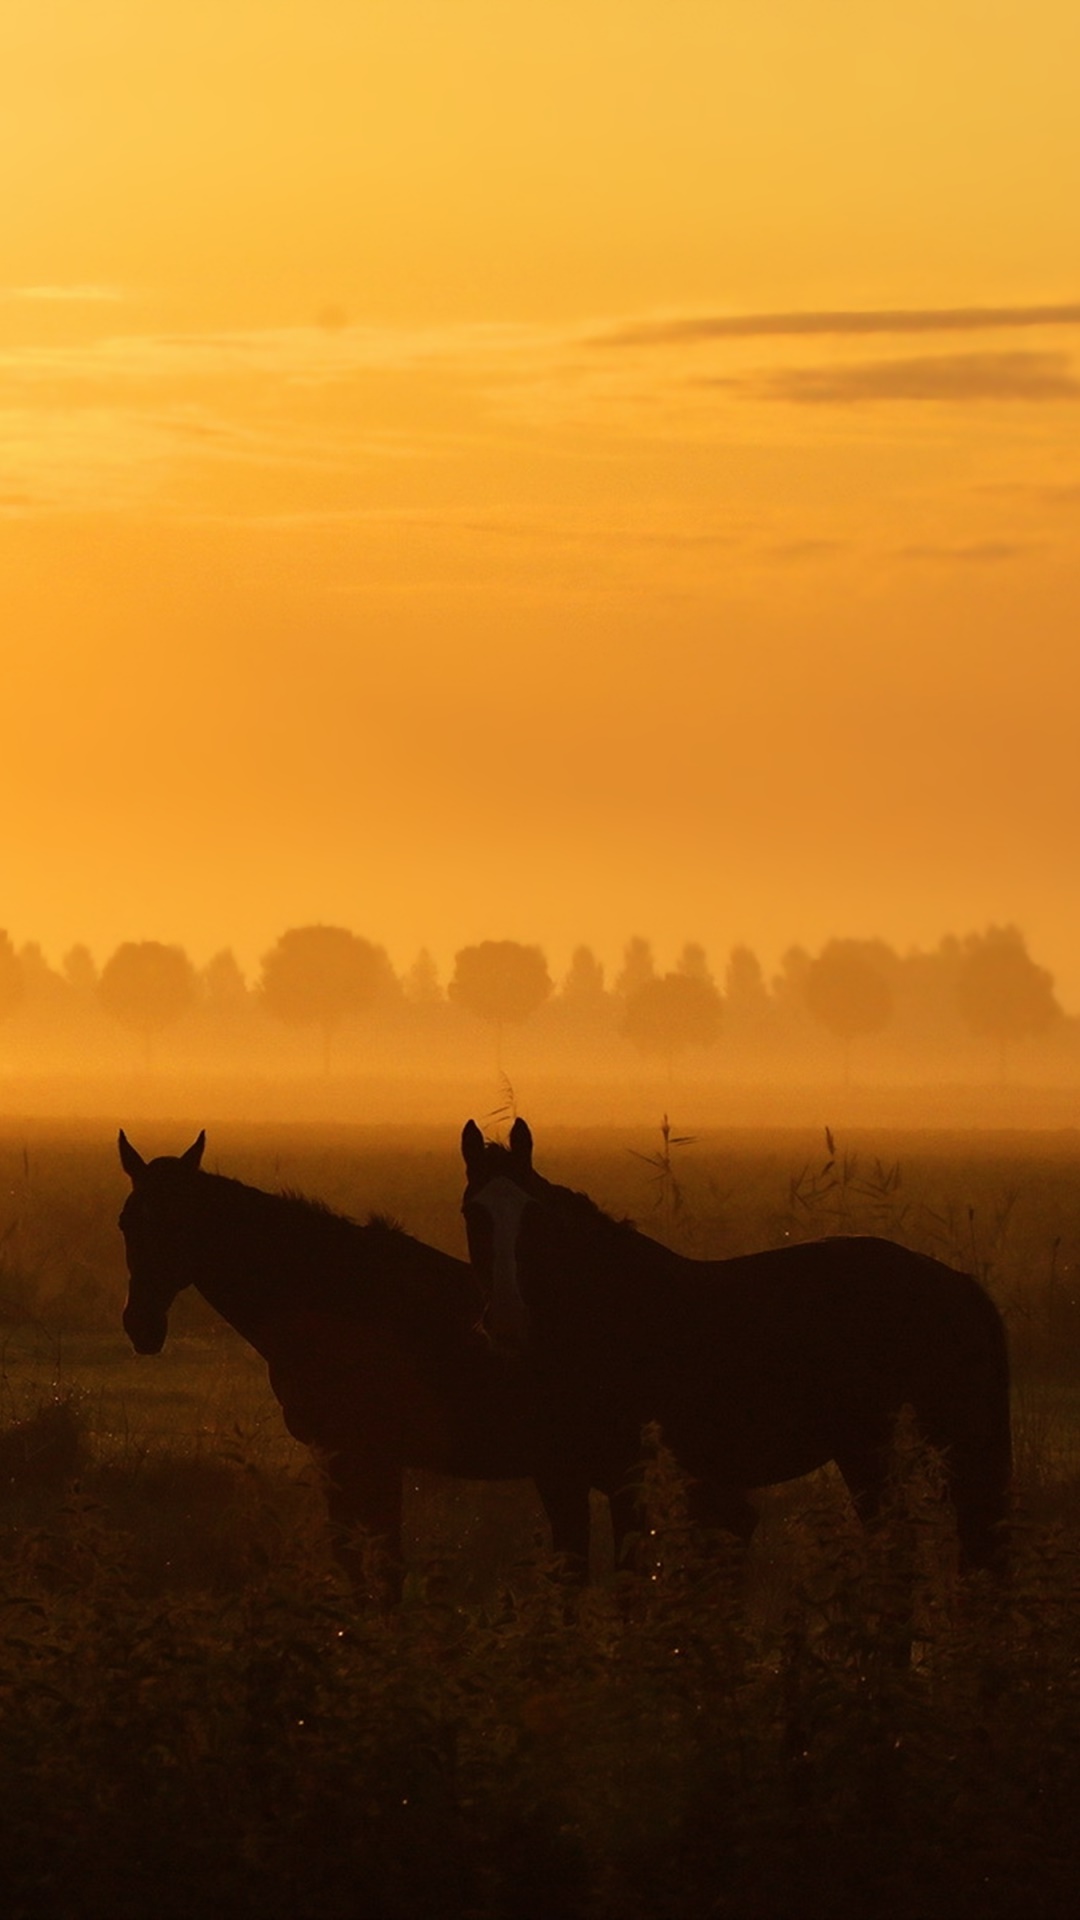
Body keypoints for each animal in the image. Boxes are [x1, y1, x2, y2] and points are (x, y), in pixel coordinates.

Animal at [117, 1130, 581, 1596]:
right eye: (126, 1222)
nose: (141, 1325)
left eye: (180, 1223)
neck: (339, 1297)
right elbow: (350, 1558)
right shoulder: (335, 1454)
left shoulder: (374, 1455)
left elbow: (382, 1564)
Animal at [461, 1118, 1012, 1575]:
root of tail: (957, 1284)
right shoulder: (561, 1485)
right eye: (472, 1214)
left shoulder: (627, 1485)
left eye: (535, 1216)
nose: (507, 1320)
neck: (604, 1317)